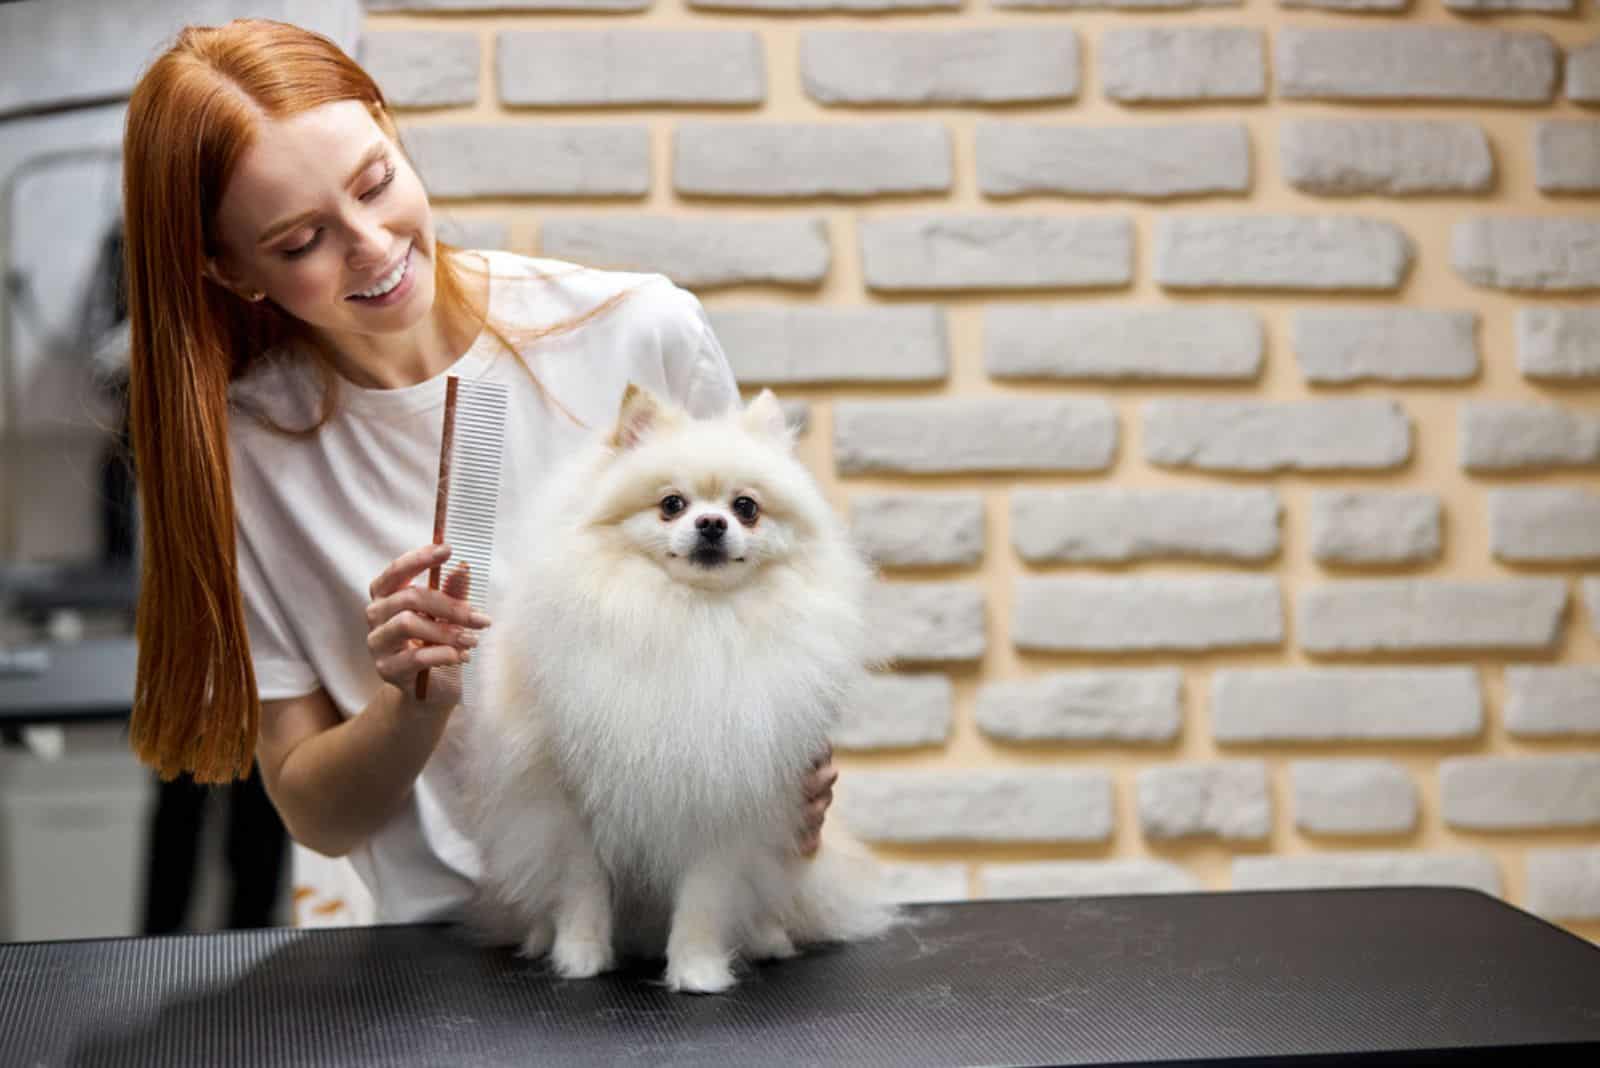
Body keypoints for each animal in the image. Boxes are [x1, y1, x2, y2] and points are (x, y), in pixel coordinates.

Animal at [460, 378, 902, 991]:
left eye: (746, 507)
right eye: (672, 504)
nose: (712, 524)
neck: (691, 617)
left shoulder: (723, 799)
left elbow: (704, 899)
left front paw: (697, 971)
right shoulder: (568, 801)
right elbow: (581, 888)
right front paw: (580, 957)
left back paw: (766, 941)